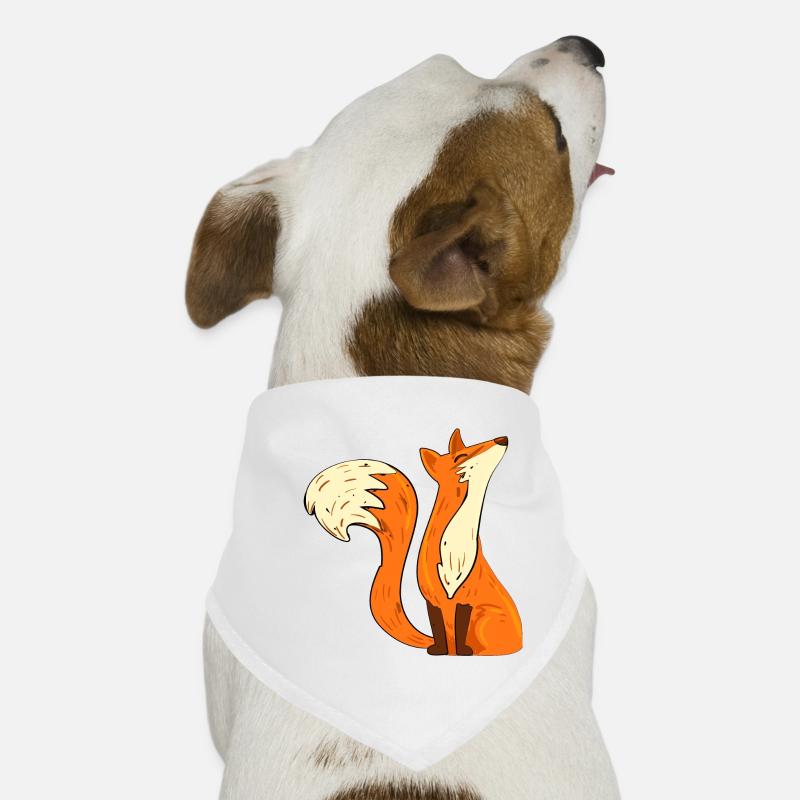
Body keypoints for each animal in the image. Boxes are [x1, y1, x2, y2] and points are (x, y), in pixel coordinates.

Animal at [304, 428, 523, 656]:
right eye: (460, 456)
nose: (502, 439)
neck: (455, 547)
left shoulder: (466, 598)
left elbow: (460, 627)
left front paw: (462, 651)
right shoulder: (432, 599)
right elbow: (438, 627)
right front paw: (439, 650)